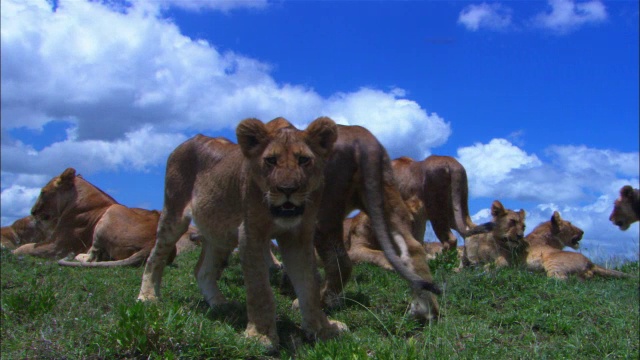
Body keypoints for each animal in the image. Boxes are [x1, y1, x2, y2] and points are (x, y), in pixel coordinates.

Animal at [11, 167, 180, 266]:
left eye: (43, 192)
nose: (32, 211)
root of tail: (152, 243)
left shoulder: (58, 247)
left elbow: (27, 247)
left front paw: (12, 252)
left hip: (112, 211)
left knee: (92, 257)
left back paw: (75, 256)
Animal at [135, 118, 344, 348]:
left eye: (303, 160)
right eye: (271, 160)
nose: (287, 189)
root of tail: (187, 141)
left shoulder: (299, 236)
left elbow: (309, 286)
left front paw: (322, 329)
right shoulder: (250, 234)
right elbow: (259, 289)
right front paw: (260, 336)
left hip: (220, 234)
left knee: (202, 270)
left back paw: (220, 304)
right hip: (174, 214)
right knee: (155, 257)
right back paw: (147, 297)